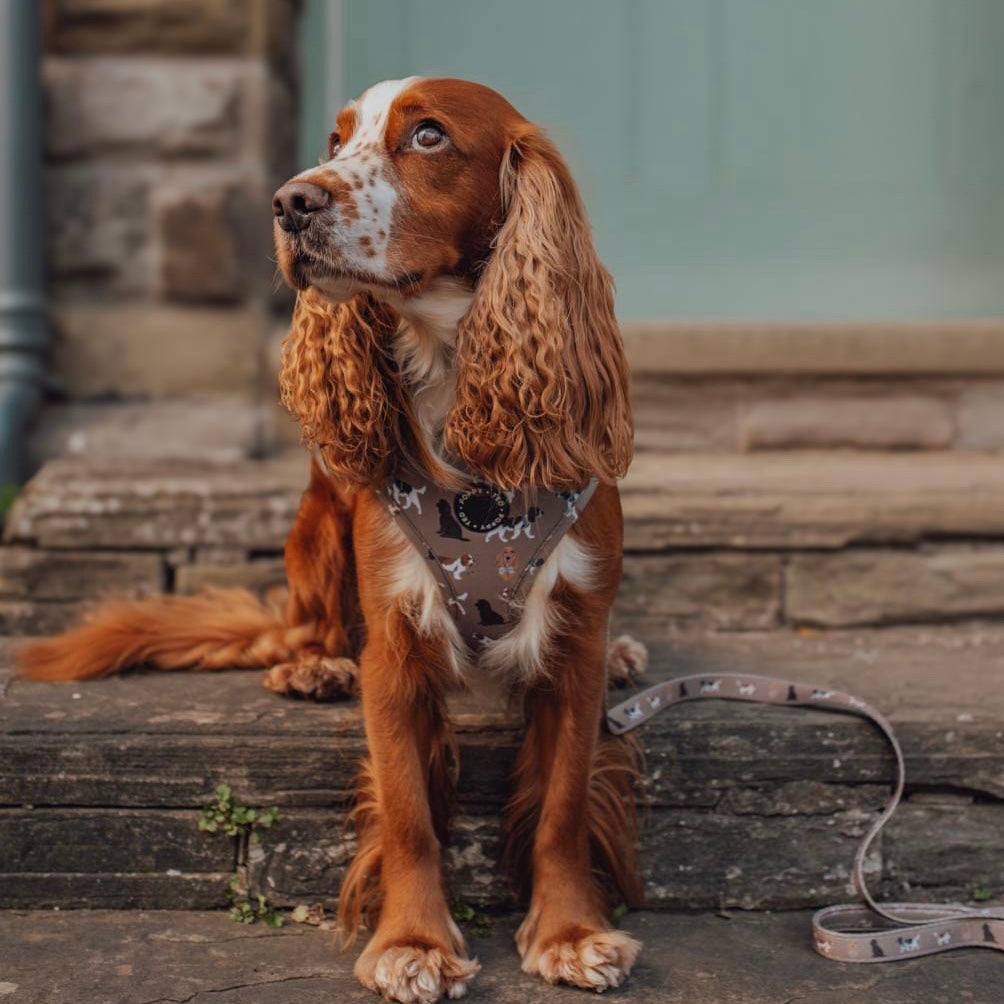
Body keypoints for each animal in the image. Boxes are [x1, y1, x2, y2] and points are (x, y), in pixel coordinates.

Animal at [25, 78, 650, 1003]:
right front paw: (414, 943)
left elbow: (563, 805)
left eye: (428, 136)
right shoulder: (394, 643)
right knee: (305, 623)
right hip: (318, 519)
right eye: (335, 138)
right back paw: (313, 664)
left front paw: (570, 932)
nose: (290, 202)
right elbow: (409, 812)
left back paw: (628, 652)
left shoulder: (571, 639)